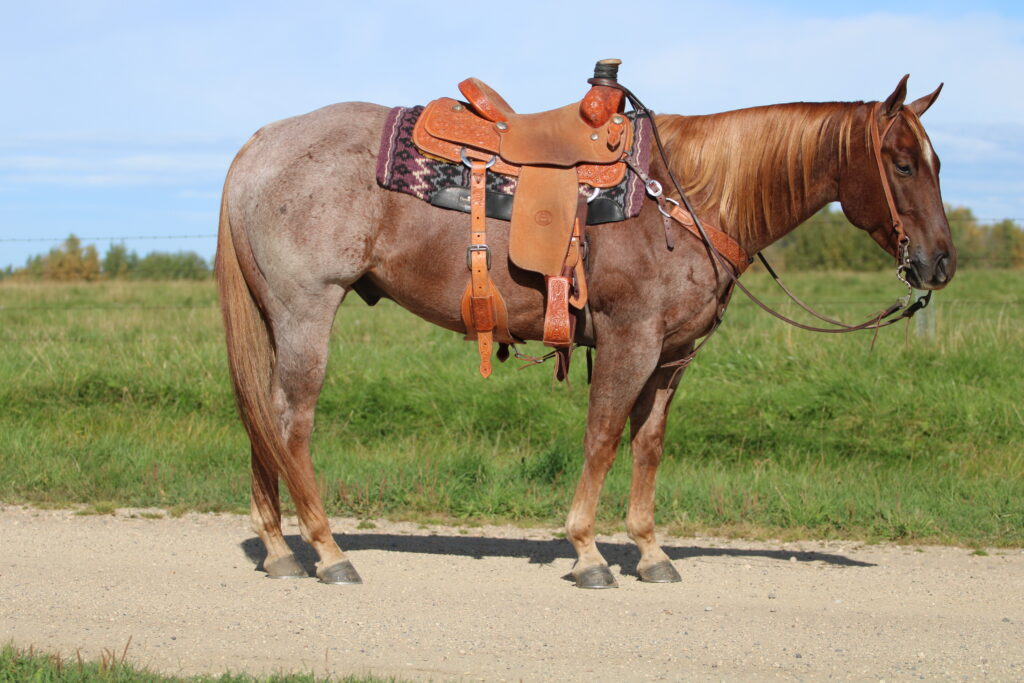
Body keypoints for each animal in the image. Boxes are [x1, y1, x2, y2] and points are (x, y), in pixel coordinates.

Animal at [215, 75, 955, 588]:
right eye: (901, 162)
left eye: (938, 162)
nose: (941, 263)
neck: (686, 197)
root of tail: (259, 143)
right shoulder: (632, 341)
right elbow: (602, 438)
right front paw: (589, 551)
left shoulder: (671, 359)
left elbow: (647, 447)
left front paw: (651, 552)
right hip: (307, 311)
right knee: (292, 423)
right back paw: (329, 551)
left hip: (277, 320)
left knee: (262, 417)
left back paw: (280, 550)